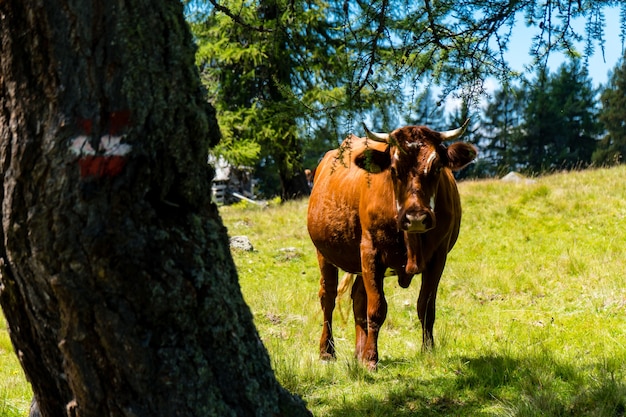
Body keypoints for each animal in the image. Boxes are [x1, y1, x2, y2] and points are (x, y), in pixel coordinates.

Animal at [308, 119, 478, 368]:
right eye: (394, 170)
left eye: (437, 167)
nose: (416, 217)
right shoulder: (371, 251)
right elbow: (377, 308)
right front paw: (371, 358)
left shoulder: (439, 257)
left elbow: (426, 306)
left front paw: (428, 350)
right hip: (324, 253)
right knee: (328, 297)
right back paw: (327, 351)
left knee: (358, 298)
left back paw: (358, 352)